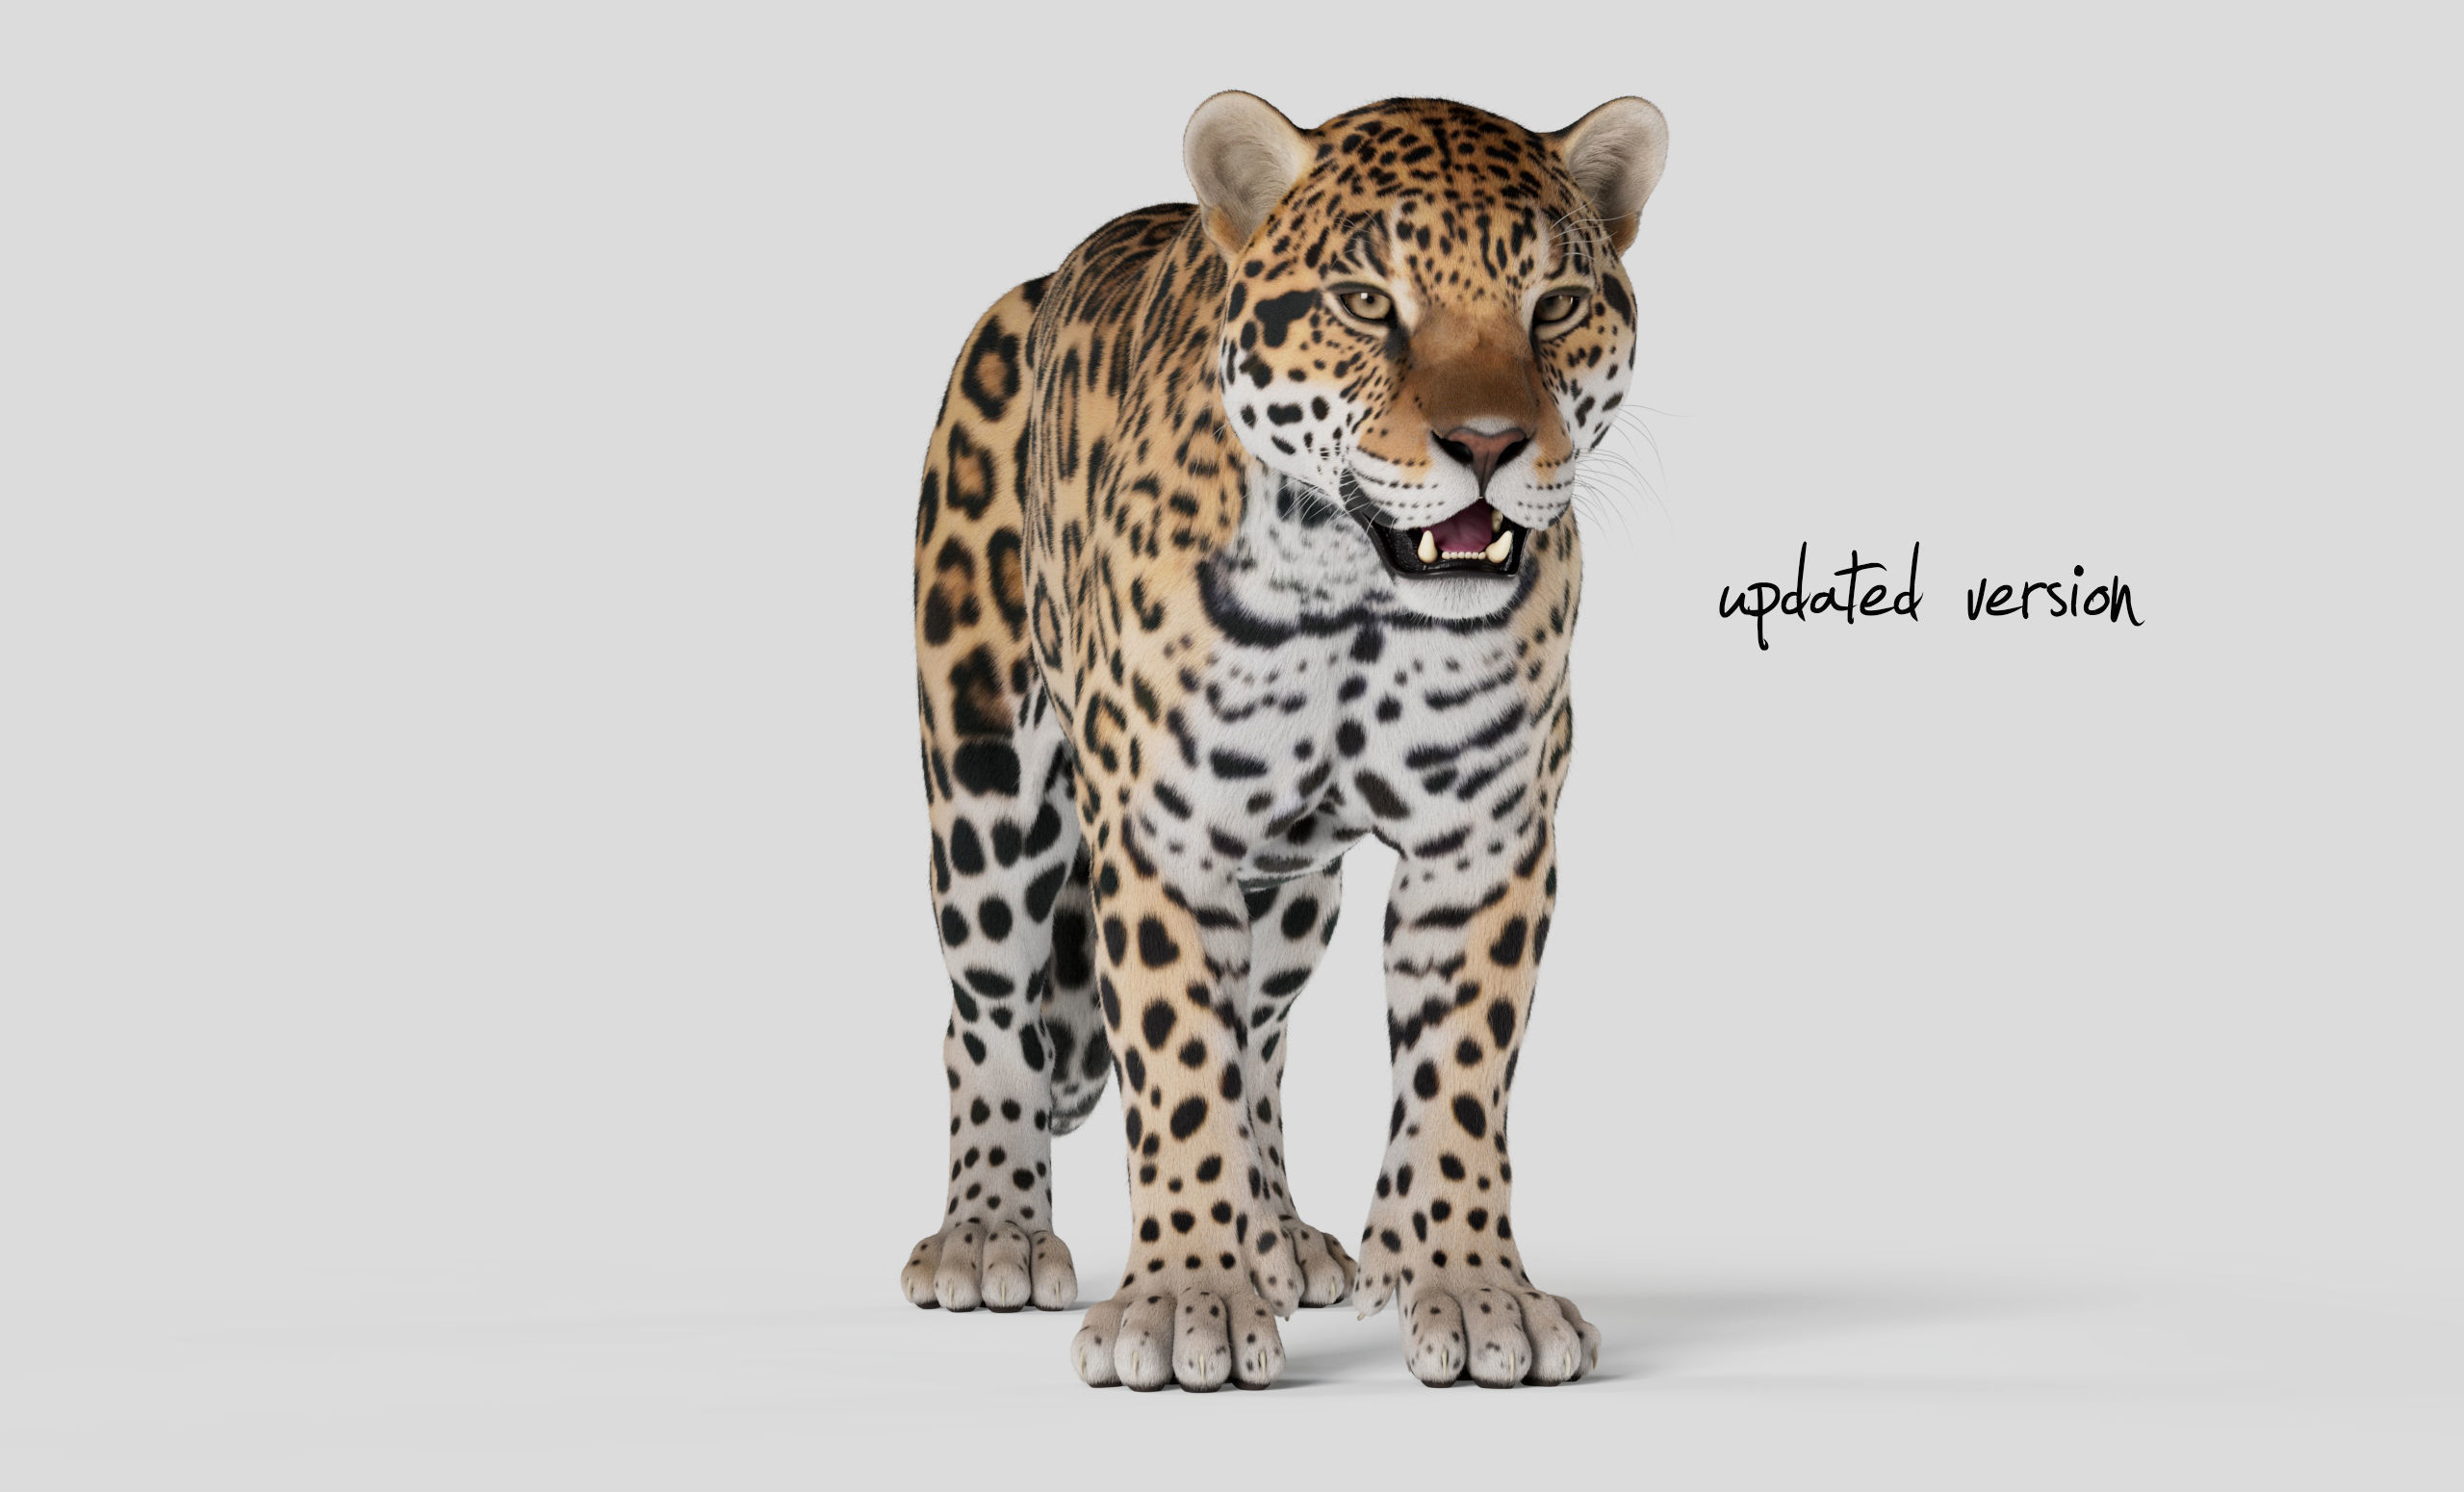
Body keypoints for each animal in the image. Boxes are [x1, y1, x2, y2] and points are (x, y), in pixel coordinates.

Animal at [899, 91, 1669, 1391]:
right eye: (1366, 301)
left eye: (1555, 304)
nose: (1486, 444)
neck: (1355, 596)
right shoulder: (1159, 832)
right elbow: (1174, 1067)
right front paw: (1182, 1301)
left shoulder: (1487, 839)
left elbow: (1456, 1072)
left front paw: (1472, 1286)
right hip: (984, 785)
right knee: (989, 1013)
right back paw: (991, 1229)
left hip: (1296, 888)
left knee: (1257, 1037)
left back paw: (1281, 1238)